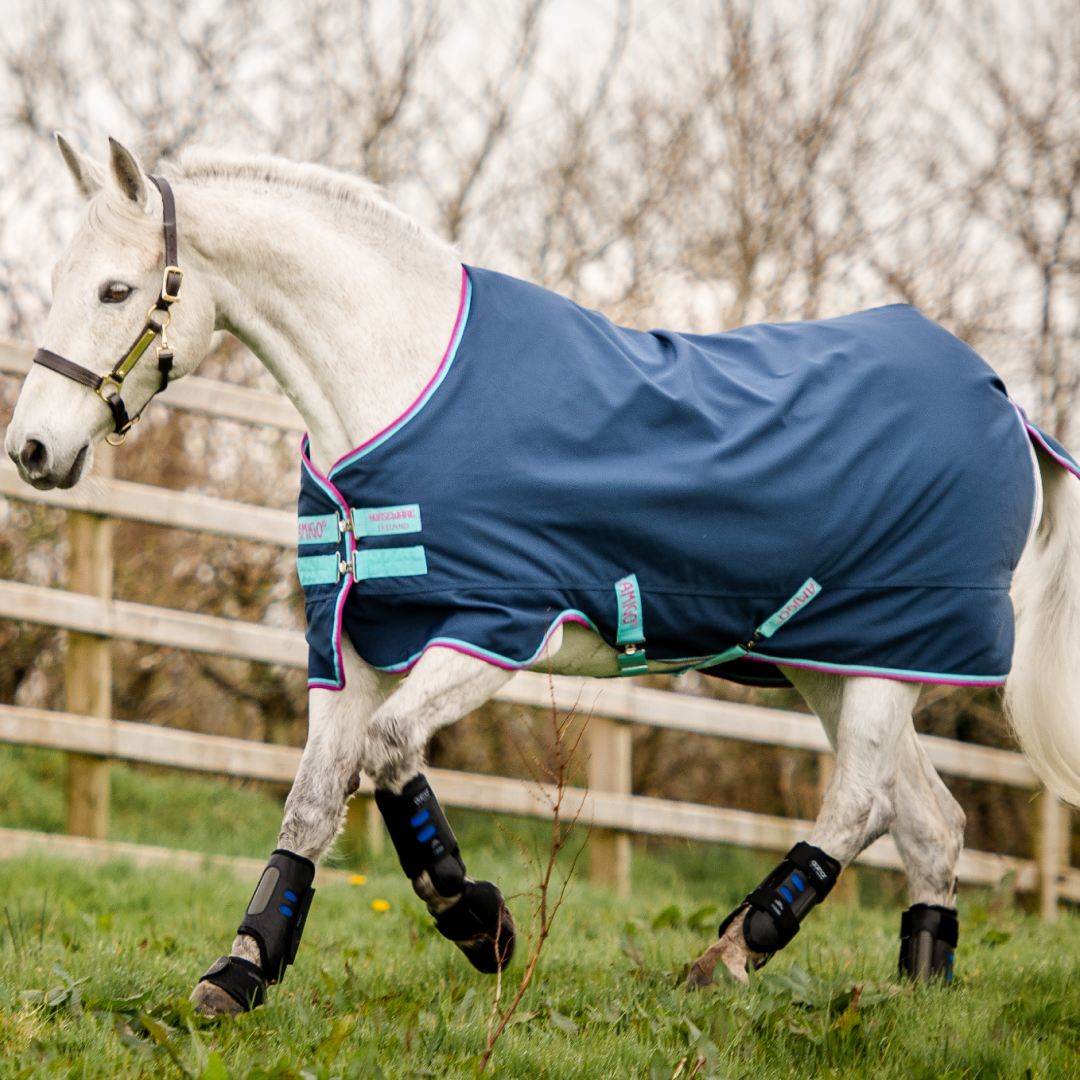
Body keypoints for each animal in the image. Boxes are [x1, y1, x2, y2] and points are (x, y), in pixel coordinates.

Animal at [8, 135, 1080, 1016]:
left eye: (115, 291)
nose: (33, 450)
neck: (401, 387)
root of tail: (1005, 401)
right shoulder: (346, 643)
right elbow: (313, 801)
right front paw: (240, 972)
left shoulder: (492, 629)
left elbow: (387, 756)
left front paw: (480, 923)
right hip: (836, 661)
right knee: (932, 824)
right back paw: (920, 1001)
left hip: (893, 656)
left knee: (860, 806)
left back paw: (726, 960)